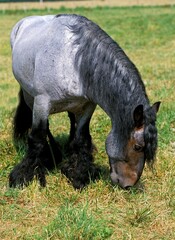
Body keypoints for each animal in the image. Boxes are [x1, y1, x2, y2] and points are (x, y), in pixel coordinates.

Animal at [9, 13, 160, 189]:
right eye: (138, 147)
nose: (128, 185)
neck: (72, 61)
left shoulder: (87, 106)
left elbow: (81, 138)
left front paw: (79, 174)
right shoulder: (42, 103)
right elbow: (38, 138)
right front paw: (23, 176)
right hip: (29, 96)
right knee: (45, 128)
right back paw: (53, 154)